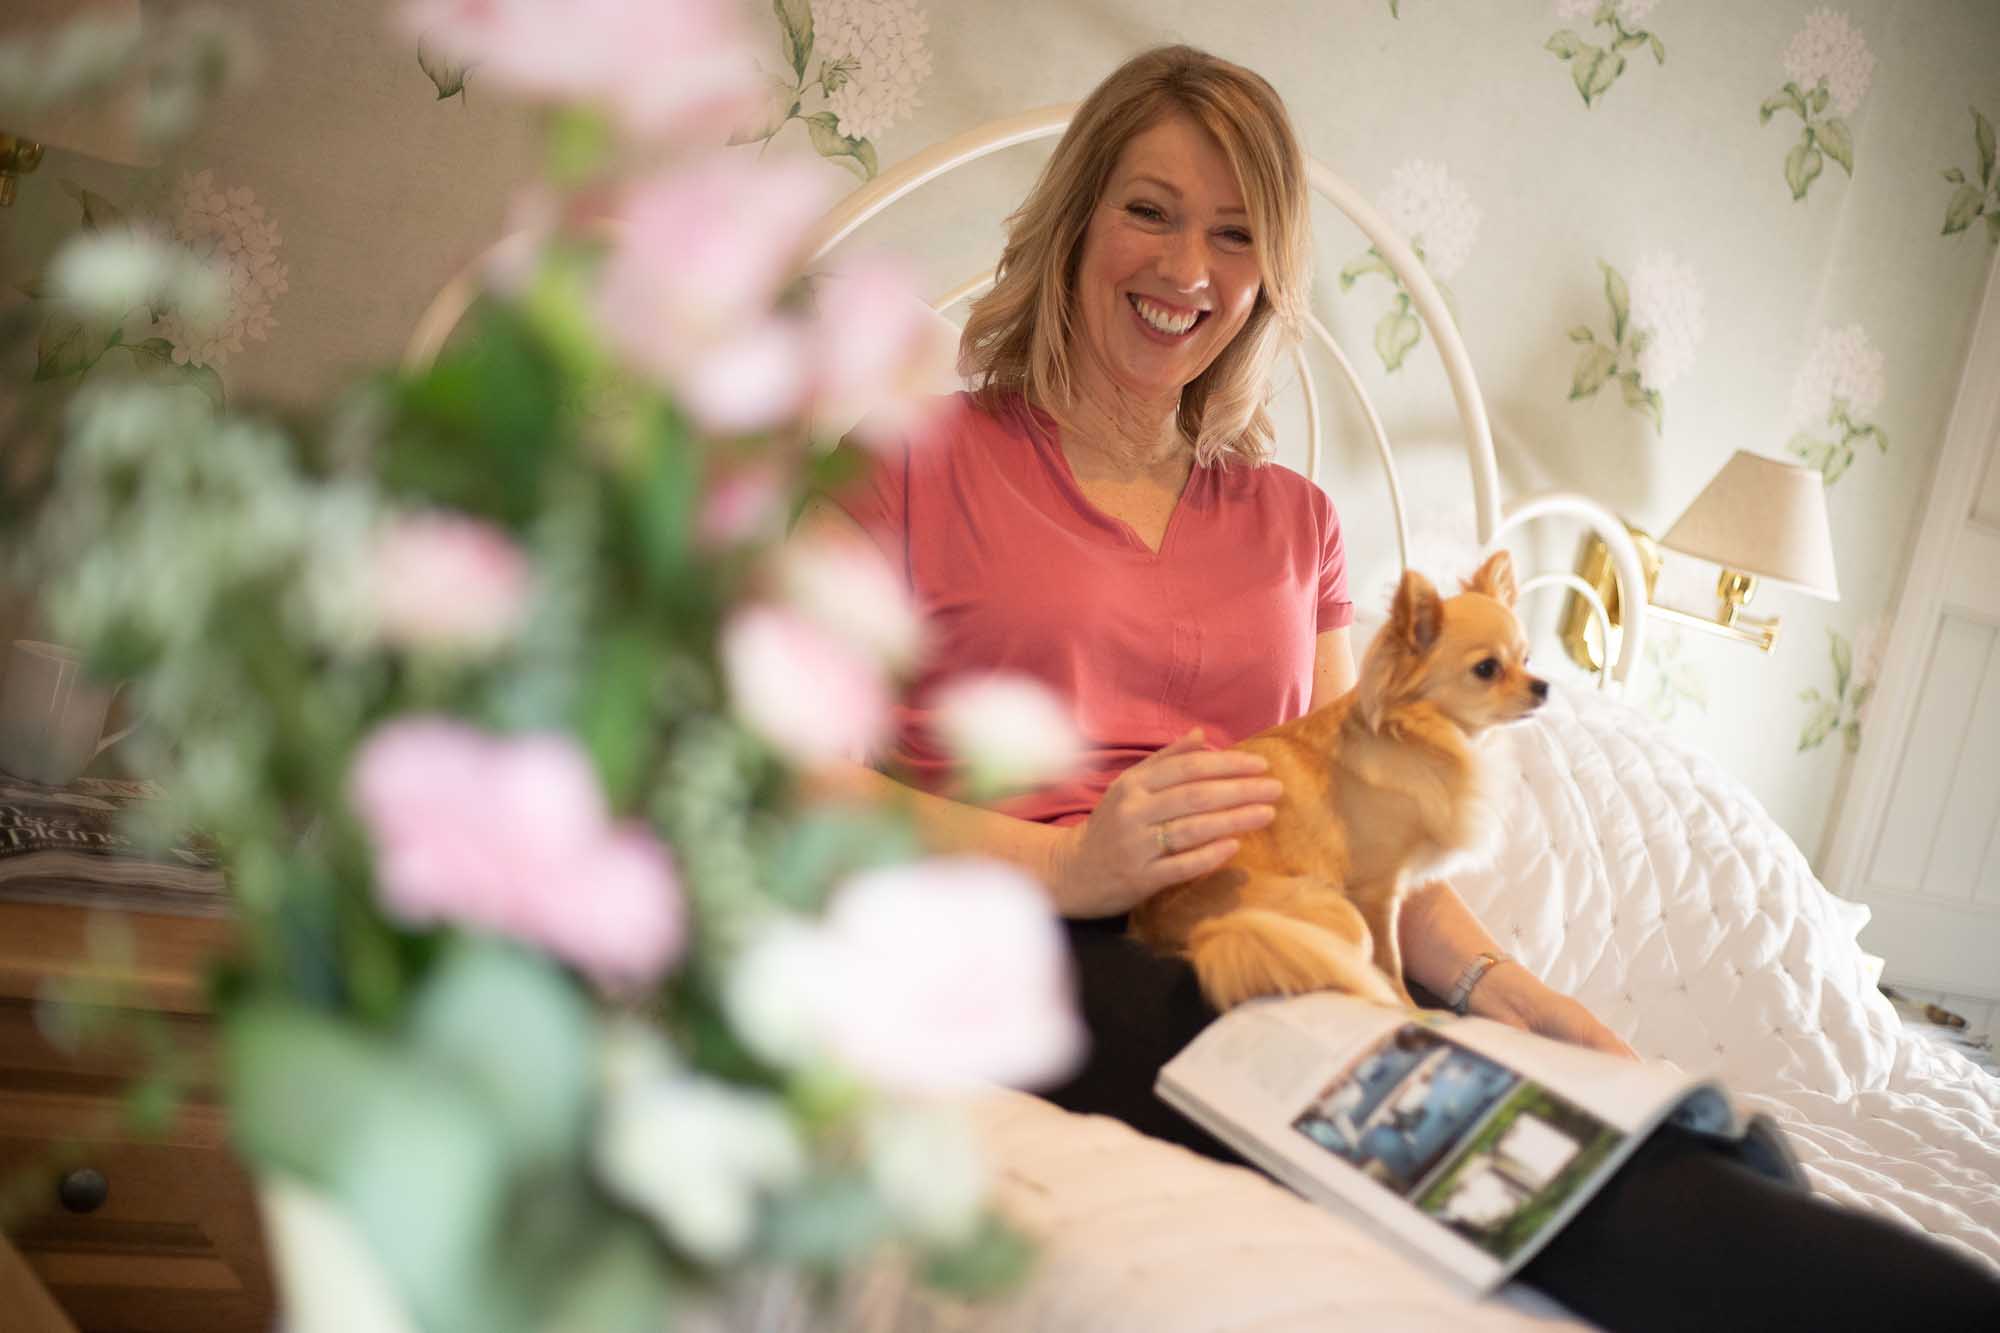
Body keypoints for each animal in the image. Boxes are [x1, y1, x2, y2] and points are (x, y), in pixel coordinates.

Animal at [1136, 548, 1536, 1008]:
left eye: (1528, 661)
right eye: (1487, 669)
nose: (1543, 686)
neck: (1423, 739)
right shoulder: (1374, 893)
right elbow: (1389, 962)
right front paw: (1405, 1004)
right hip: (1330, 912)